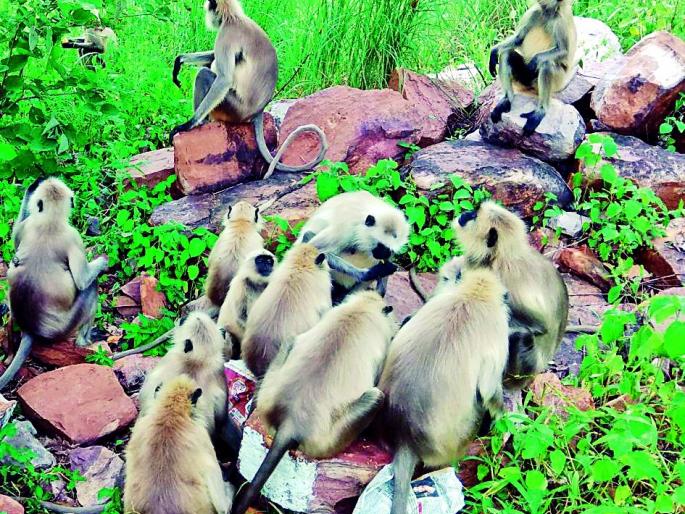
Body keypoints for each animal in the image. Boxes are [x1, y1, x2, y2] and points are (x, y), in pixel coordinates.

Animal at [0, 177, 108, 390]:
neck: (50, 221)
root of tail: (31, 329)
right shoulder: (73, 236)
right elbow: (82, 281)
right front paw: (103, 262)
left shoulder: (27, 225)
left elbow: (15, 238)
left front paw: (34, 184)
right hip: (64, 328)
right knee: (91, 287)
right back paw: (84, 341)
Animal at [169, 0, 328, 179]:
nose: (208, 17)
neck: (233, 18)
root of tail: (259, 110)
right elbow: (213, 57)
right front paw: (180, 59)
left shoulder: (226, 34)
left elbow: (224, 79)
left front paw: (188, 124)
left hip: (233, 109)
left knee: (204, 74)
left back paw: (201, 122)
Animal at [232, 291, 398, 514]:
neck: (361, 308)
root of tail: (291, 422)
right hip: (329, 440)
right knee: (376, 396)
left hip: (269, 390)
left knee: (291, 339)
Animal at [453, 201, 569, 390]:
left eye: (474, 216)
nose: (465, 214)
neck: (501, 257)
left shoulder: (500, 279)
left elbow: (540, 326)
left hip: (524, 371)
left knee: (521, 336)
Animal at [489, 0, 577, 135]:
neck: (548, 13)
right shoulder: (535, 12)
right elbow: (518, 38)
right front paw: (493, 51)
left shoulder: (559, 20)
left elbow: (563, 51)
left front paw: (535, 60)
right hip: (522, 79)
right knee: (506, 54)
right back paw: (507, 99)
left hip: (557, 81)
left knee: (547, 64)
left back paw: (540, 111)